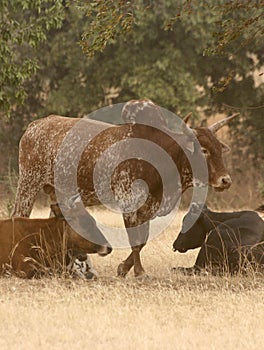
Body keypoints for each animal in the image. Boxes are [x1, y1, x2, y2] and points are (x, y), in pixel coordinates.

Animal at [12, 100, 239, 278]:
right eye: (204, 150)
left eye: (219, 148)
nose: (225, 180)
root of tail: (35, 125)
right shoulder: (127, 201)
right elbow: (136, 241)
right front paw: (139, 272)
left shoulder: (148, 207)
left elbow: (143, 240)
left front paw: (123, 268)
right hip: (28, 184)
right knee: (18, 216)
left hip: (57, 193)